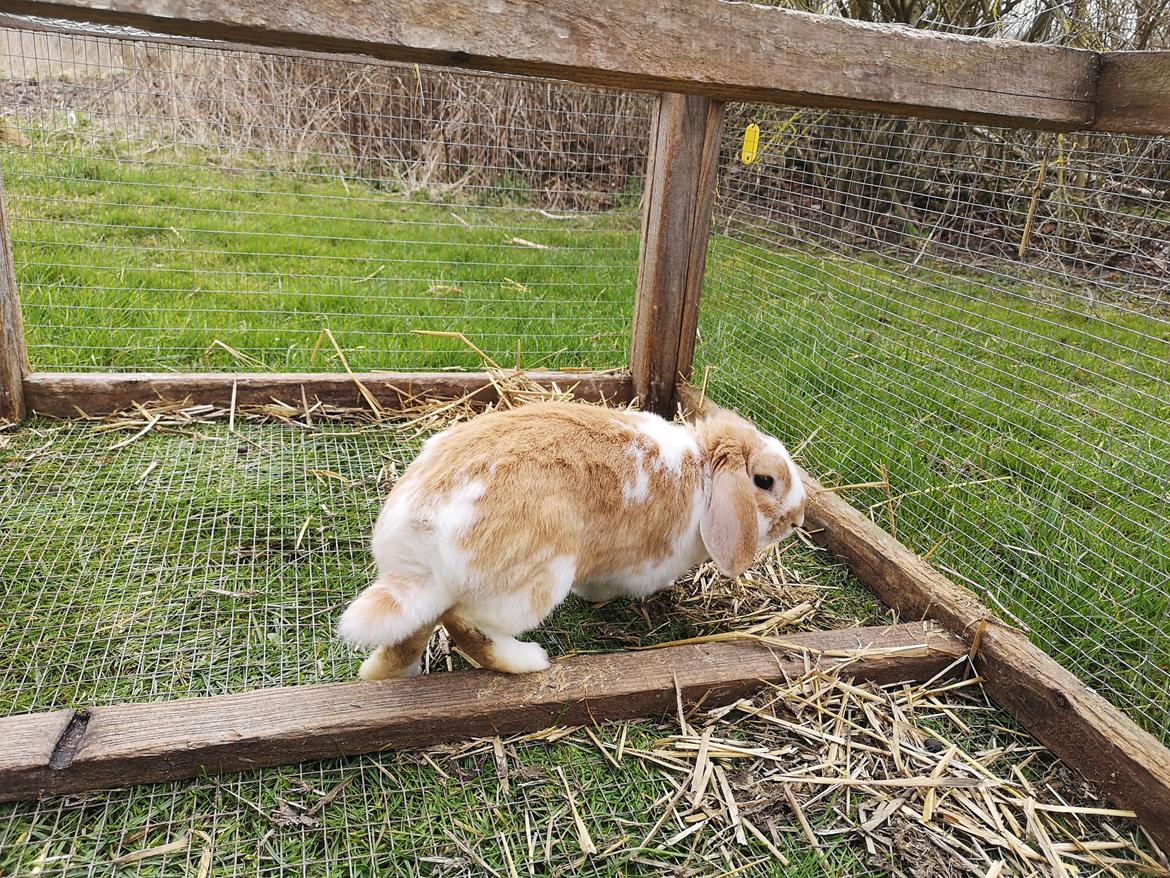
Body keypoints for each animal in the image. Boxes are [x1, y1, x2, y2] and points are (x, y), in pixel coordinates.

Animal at [339, 398, 804, 678]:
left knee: (412, 632)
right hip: (535, 580)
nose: (798, 519)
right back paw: (530, 660)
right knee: (463, 622)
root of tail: (421, 538)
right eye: (764, 481)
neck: (704, 474)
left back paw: (390, 674)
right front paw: (599, 597)